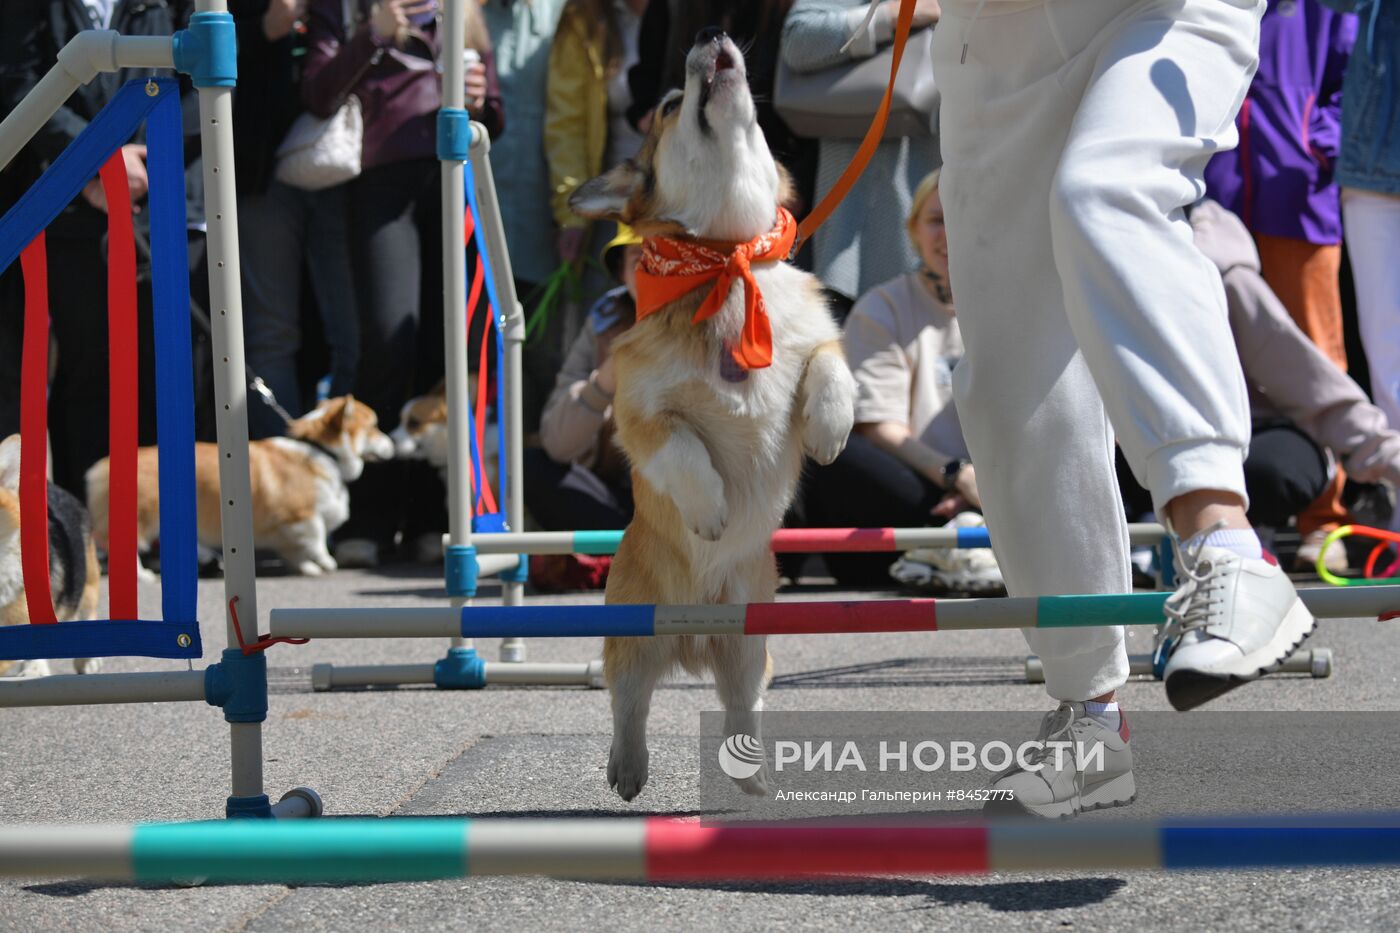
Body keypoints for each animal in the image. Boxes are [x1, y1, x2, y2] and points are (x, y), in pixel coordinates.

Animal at [84, 395, 394, 577]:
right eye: (374, 427)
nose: (392, 443)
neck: (321, 449)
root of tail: (103, 466)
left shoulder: (289, 527)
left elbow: (296, 549)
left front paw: (306, 567)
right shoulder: (301, 515)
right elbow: (316, 538)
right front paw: (325, 562)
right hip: (142, 518)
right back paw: (142, 576)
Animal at [565, 30, 851, 801]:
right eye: (669, 103)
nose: (710, 36)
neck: (725, 256)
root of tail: (693, 637)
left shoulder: (815, 340)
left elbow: (828, 364)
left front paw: (831, 428)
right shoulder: (639, 412)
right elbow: (684, 449)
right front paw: (711, 511)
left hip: (751, 647)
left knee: (740, 707)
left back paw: (752, 777)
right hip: (631, 638)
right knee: (629, 704)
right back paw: (628, 769)